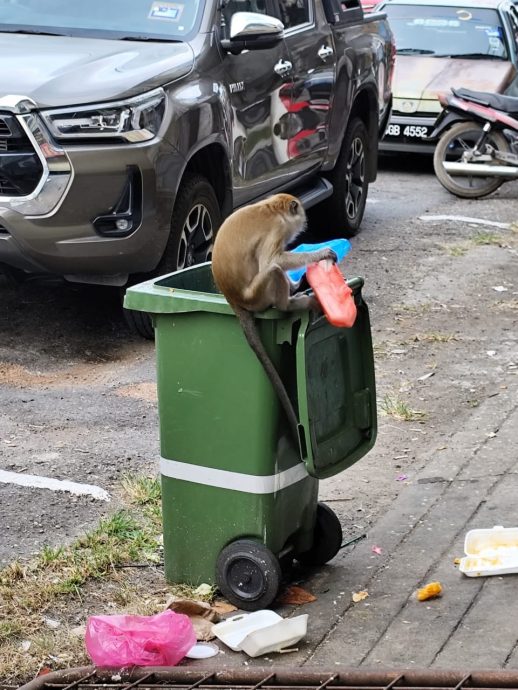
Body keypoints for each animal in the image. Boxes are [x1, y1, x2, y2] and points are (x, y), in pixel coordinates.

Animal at [213, 191, 340, 444]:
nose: (305, 221)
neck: (272, 209)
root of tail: (233, 299)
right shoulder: (277, 228)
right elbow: (273, 260)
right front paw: (321, 253)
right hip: (258, 295)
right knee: (272, 269)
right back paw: (288, 303)